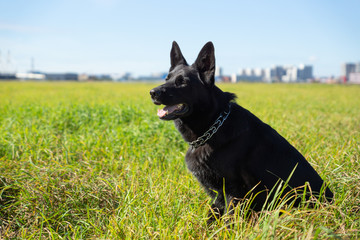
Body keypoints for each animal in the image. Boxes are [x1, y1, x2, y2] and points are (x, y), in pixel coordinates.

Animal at [148, 40, 332, 221]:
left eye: (182, 82)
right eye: (167, 79)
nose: (152, 92)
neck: (214, 125)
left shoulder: (233, 191)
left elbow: (229, 221)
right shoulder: (218, 195)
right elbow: (211, 217)